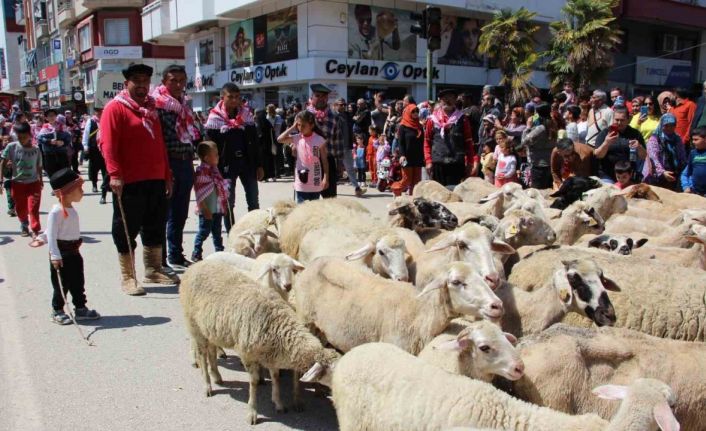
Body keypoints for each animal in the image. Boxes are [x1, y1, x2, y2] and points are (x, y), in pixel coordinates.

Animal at [179, 260, 338, 426]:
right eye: (333, 373)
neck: (279, 327)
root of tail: (194, 266)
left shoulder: (272, 355)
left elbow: (275, 377)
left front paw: (278, 403)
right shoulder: (248, 355)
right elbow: (254, 382)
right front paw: (252, 412)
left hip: (210, 329)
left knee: (211, 351)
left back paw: (217, 376)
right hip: (194, 326)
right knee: (202, 356)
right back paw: (207, 385)